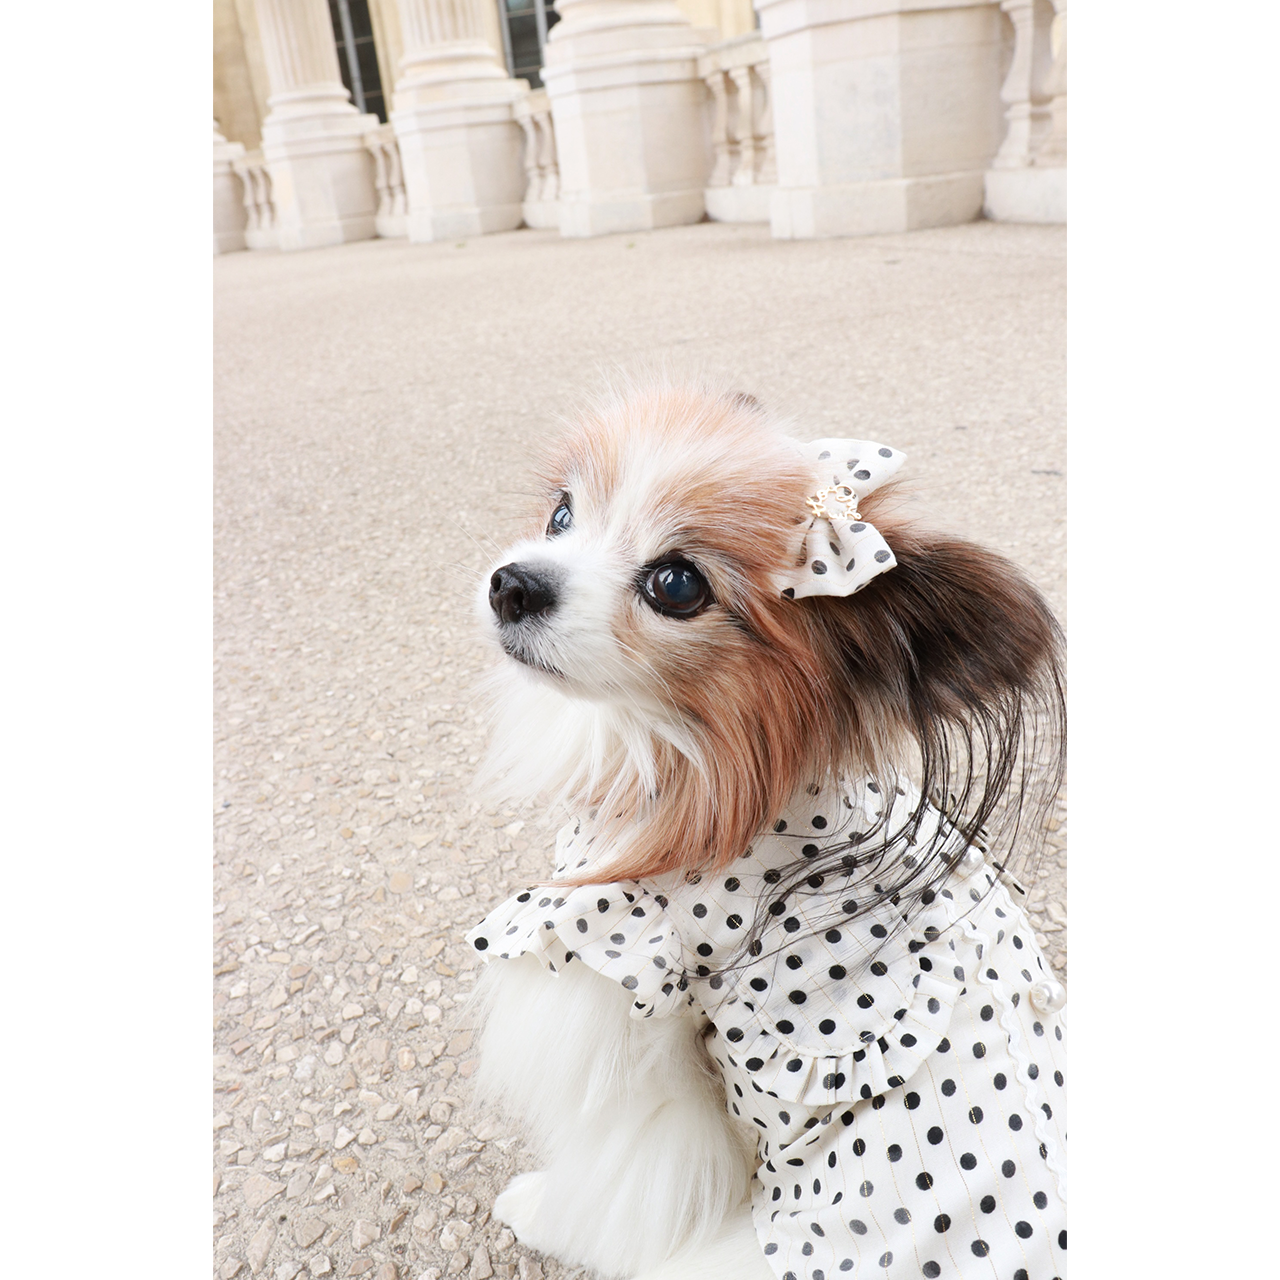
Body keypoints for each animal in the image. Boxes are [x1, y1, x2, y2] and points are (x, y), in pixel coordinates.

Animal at [462, 384, 1067, 1280]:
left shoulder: (629, 1016)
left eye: (676, 584)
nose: (513, 584)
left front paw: (538, 1211)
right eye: (563, 512)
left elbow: (620, 1181)